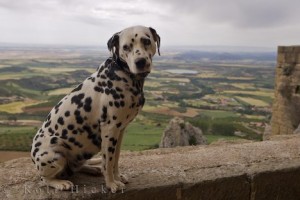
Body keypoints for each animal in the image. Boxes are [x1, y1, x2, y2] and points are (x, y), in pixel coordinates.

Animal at [30, 25, 161, 192]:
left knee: (78, 167)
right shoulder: (110, 130)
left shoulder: (120, 131)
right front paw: (111, 184)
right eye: (126, 47)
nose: (140, 61)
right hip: (55, 154)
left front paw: (118, 177)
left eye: (146, 41)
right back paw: (60, 183)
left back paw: (92, 168)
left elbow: (115, 159)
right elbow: (108, 162)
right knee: (45, 179)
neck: (123, 74)